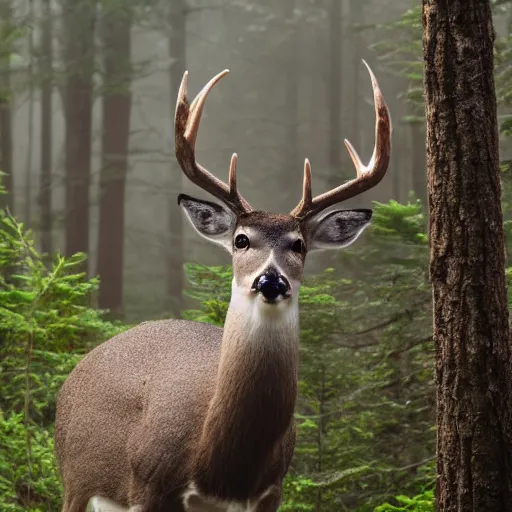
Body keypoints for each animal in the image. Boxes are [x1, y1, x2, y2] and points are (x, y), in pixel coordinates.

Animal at [55, 61, 392, 512]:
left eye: (299, 245)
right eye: (241, 240)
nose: (270, 280)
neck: (223, 466)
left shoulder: (270, 492)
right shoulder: (148, 487)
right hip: (76, 478)